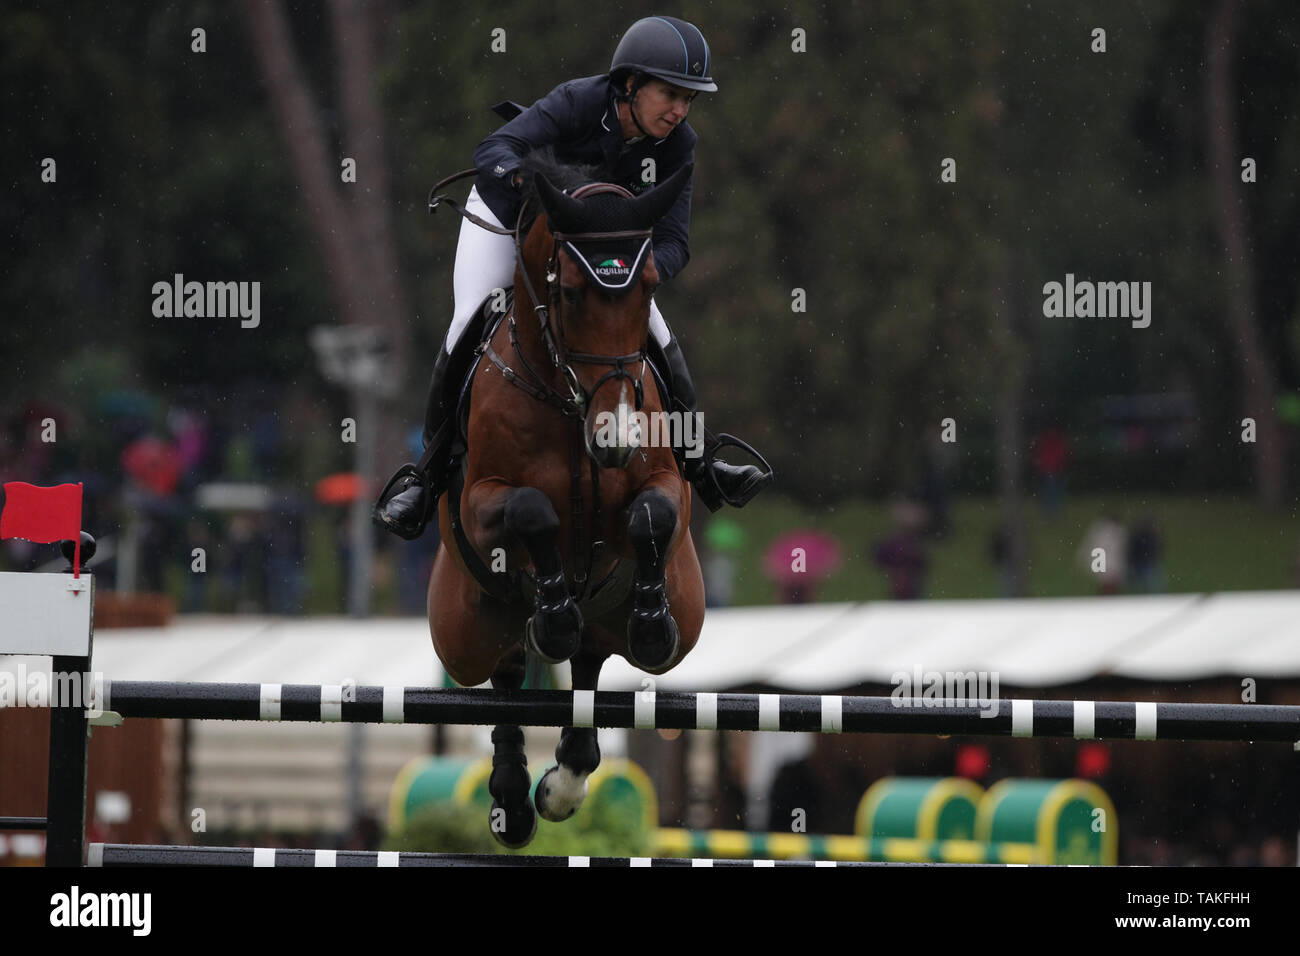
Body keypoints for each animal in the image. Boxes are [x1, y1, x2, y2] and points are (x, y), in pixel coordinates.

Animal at [428, 155, 702, 842]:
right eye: (572, 292)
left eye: (648, 287)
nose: (615, 436)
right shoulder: (479, 502)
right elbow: (532, 509)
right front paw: (552, 614)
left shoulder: (666, 487)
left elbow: (653, 513)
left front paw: (652, 626)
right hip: (462, 632)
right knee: (504, 676)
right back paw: (512, 798)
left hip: (649, 612)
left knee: (588, 665)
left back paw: (563, 785)